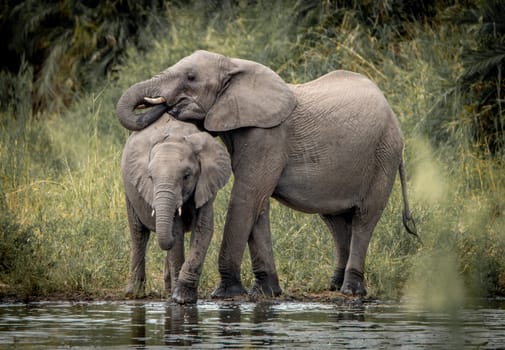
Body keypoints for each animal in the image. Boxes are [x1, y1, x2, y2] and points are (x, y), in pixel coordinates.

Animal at [116, 50, 416, 298]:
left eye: (191, 77)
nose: (167, 107)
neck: (235, 65)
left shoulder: (267, 136)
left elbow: (246, 198)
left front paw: (225, 293)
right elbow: (257, 207)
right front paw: (266, 292)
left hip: (384, 155)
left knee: (365, 218)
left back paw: (351, 290)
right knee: (336, 220)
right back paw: (334, 284)